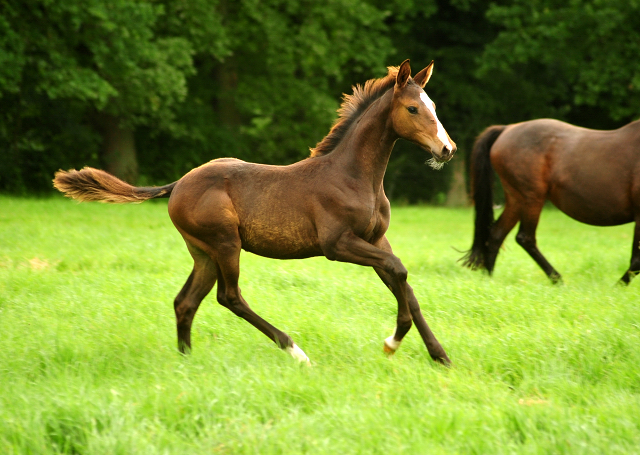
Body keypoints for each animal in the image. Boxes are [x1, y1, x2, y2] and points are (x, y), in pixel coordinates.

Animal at [462, 116, 640, 284]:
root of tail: (507, 129)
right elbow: (637, 261)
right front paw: (617, 287)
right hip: (532, 198)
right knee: (525, 238)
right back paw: (557, 279)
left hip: (516, 199)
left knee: (496, 234)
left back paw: (488, 279)